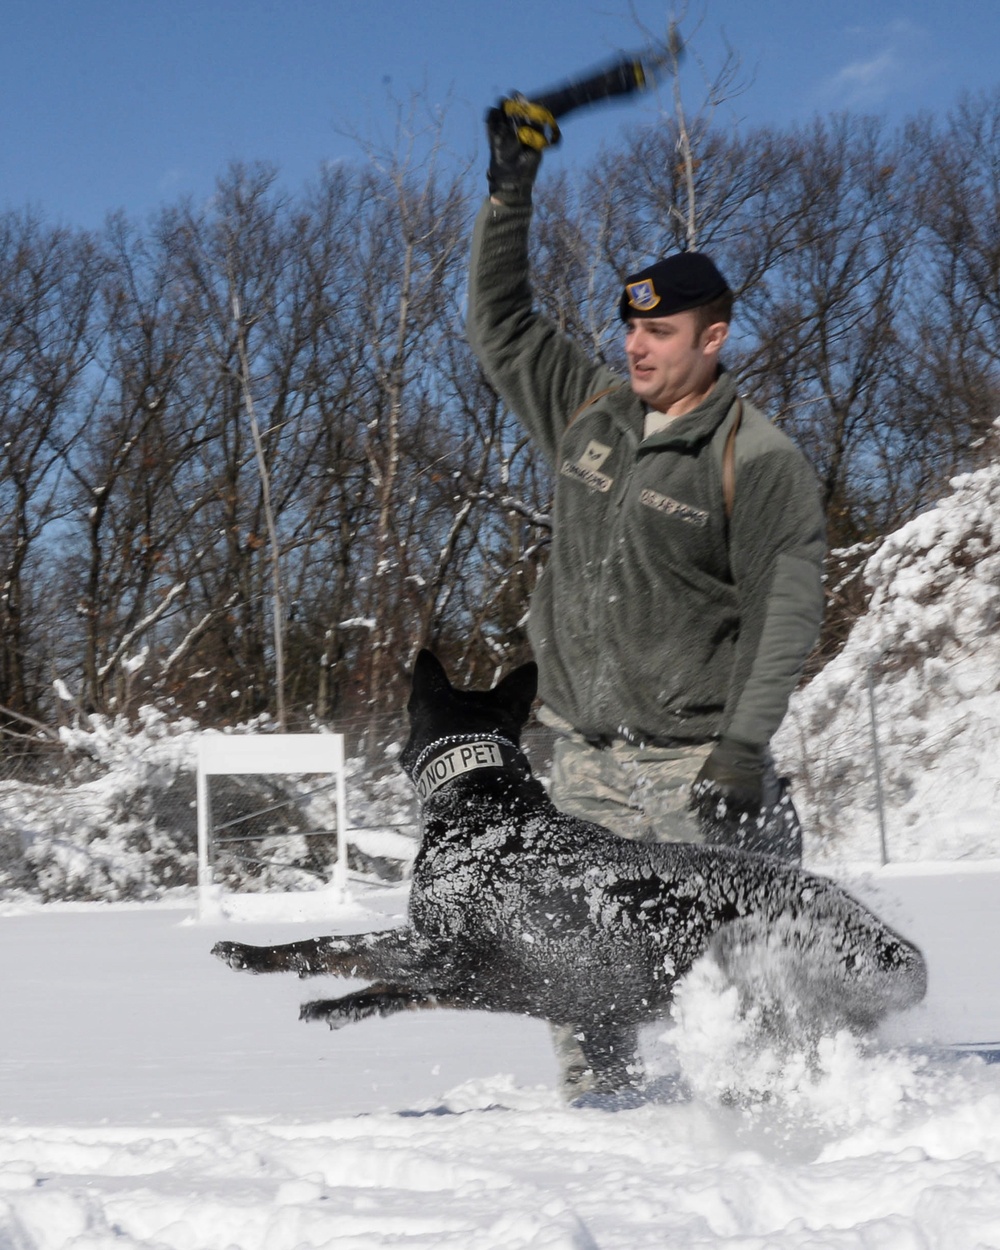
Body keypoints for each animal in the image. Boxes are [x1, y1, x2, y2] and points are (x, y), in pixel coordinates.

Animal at [212, 650, 930, 1100]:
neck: (485, 810)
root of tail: (903, 955)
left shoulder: (451, 964)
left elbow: (367, 972)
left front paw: (318, 997)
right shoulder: (451, 963)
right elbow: (339, 955)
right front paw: (266, 964)